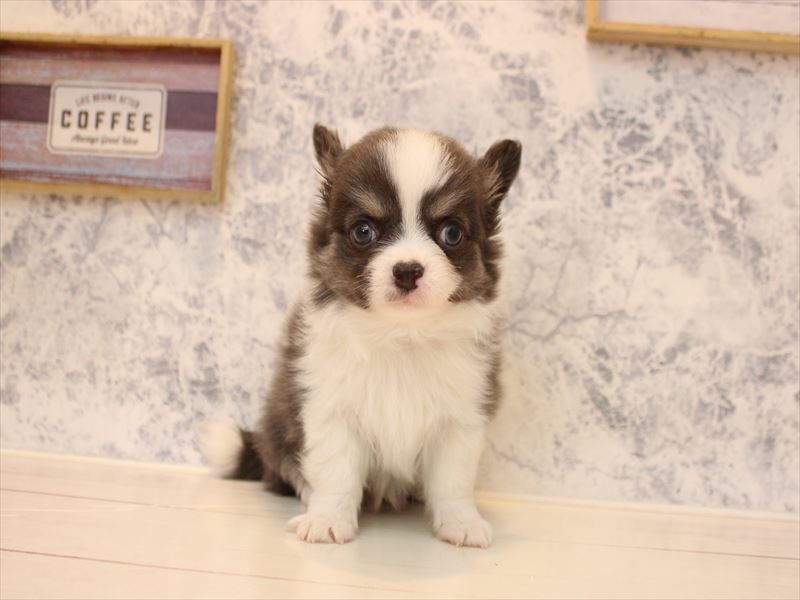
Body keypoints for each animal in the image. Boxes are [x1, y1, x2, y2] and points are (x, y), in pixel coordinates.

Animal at [201, 124, 521, 547]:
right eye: (363, 231)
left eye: (451, 233)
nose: (407, 270)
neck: (401, 335)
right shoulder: (331, 410)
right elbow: (336, 472)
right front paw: (327, 519)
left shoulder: (461, 417)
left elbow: (453, 480)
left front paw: (461, 522)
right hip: (280, 424)